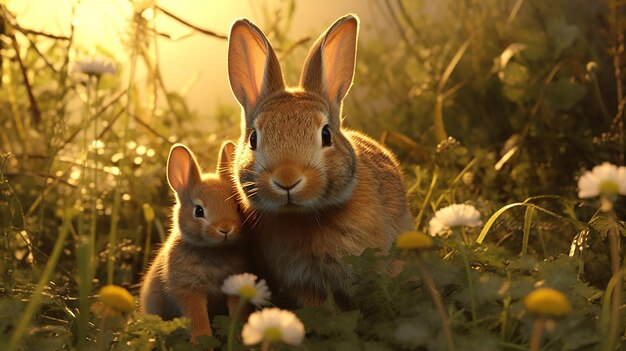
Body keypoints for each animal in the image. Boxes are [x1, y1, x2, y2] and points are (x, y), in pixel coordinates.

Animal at [140, 142, 246, 340]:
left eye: (237, 206)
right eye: (199, 211)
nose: (225, 229)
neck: (213, 250)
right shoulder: (188, 290)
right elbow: (197, 317)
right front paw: (202, 339)